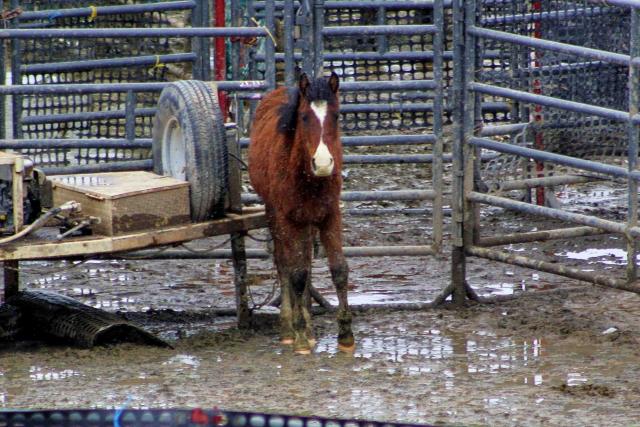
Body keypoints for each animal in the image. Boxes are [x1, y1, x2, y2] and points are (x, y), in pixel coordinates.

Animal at [248, 72, 352, 354]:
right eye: (304, 117)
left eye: (336, 115)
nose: (324, 164)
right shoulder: (286, 219)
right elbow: (294, 273)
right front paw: (300, 336)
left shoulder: (330, 216)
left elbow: (338, 270)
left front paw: (346, 335)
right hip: (276, 216)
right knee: (284, 263)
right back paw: (289, 327)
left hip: (307, 222)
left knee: (304, 260)